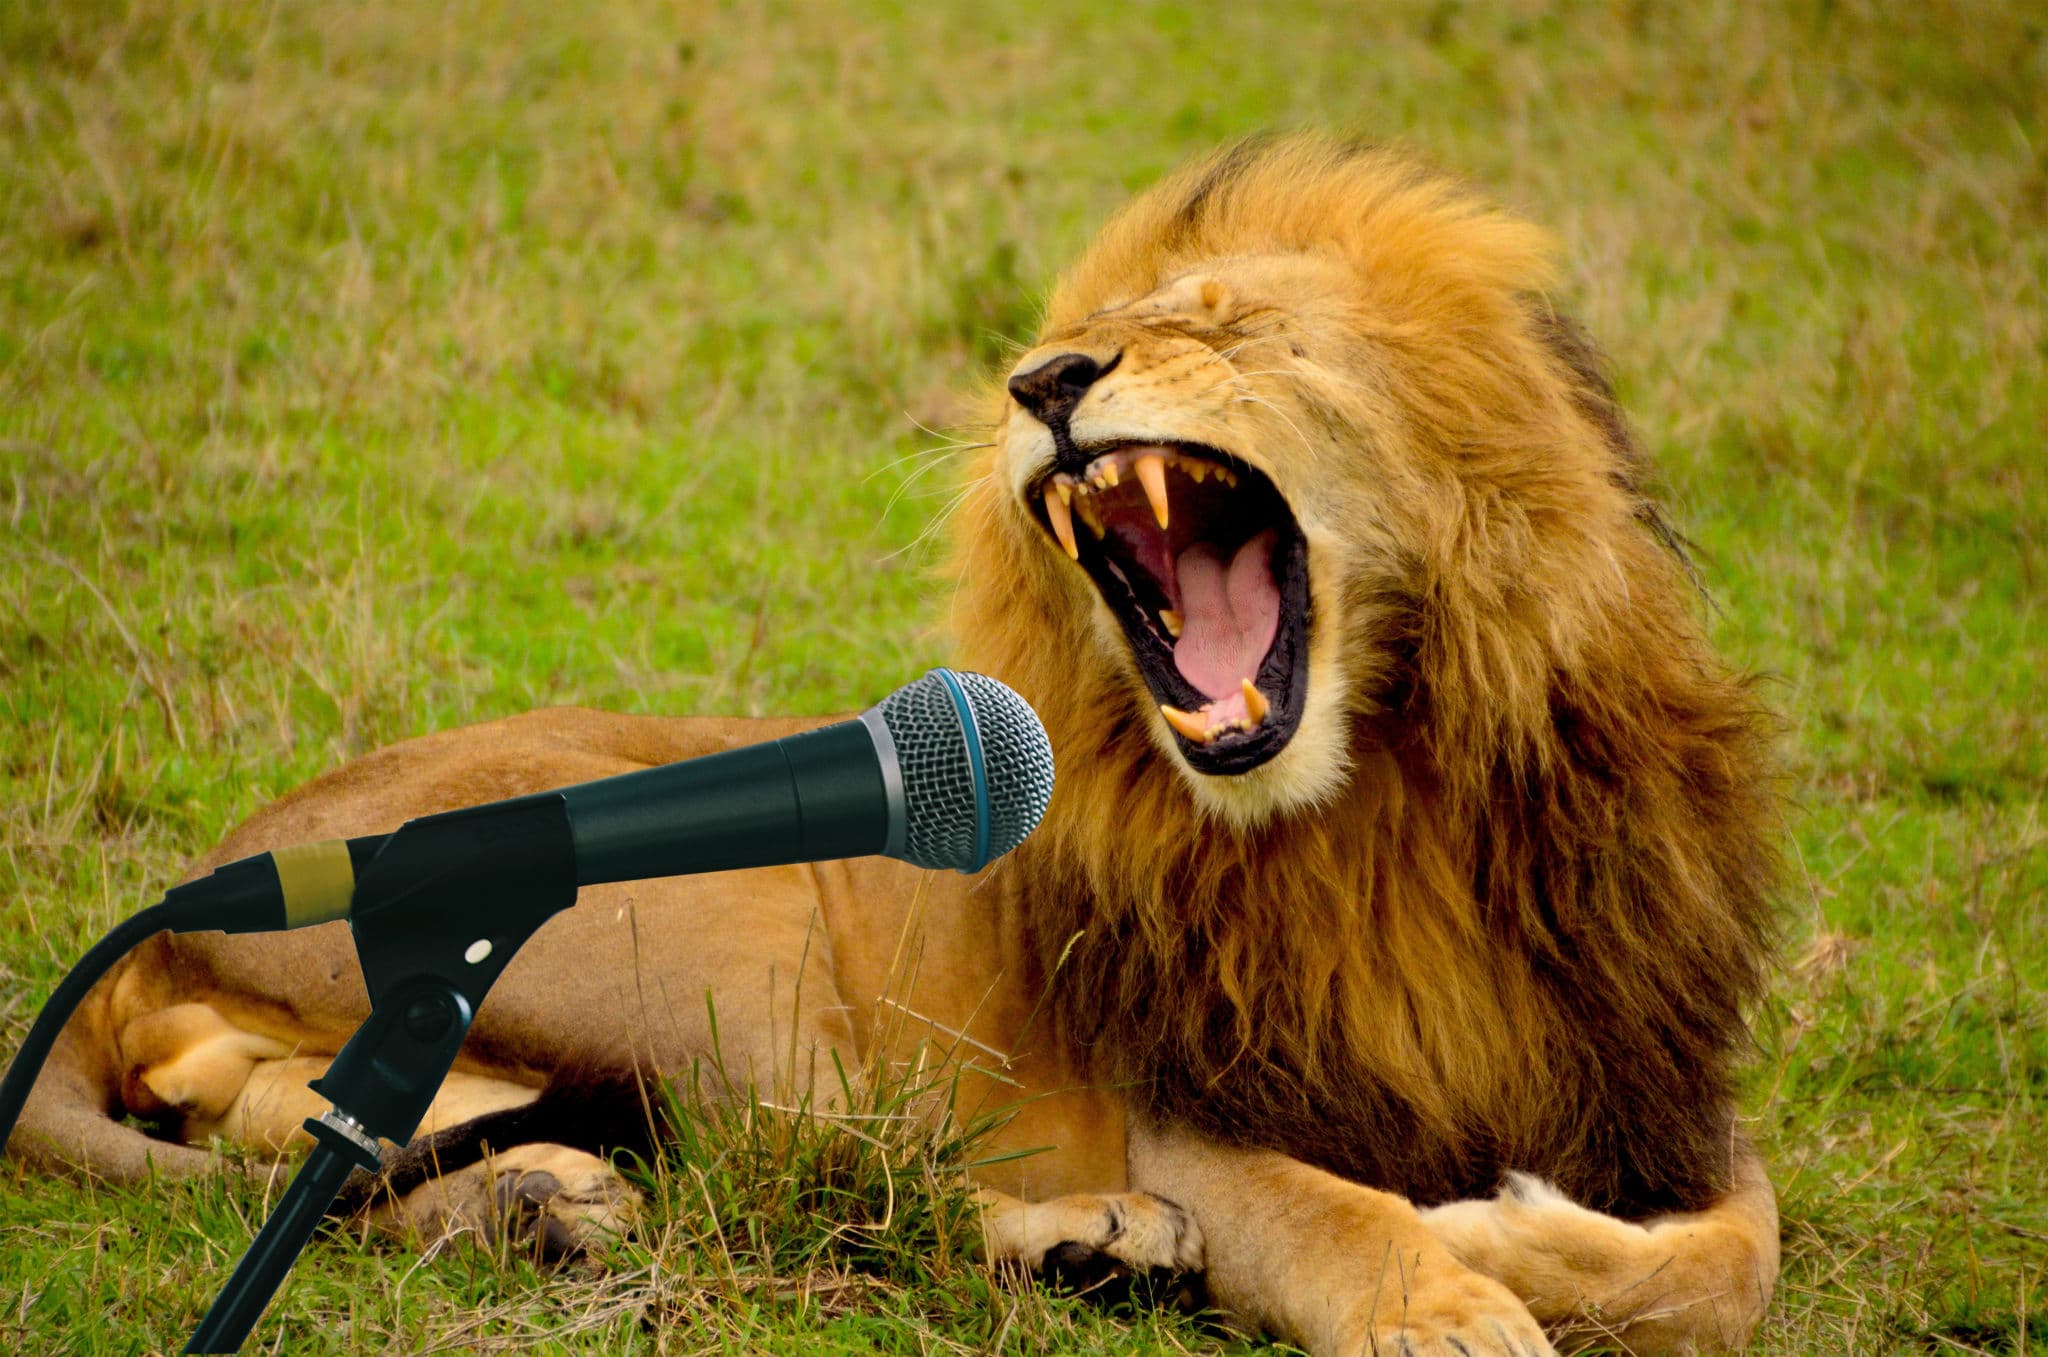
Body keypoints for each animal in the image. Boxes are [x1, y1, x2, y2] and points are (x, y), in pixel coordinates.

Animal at [6, 135, 1782, 1356]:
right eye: (1085, 332)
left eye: (1227, 326)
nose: (1044, 380)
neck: (1384, 807)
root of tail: (198, 882)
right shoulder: (1188, 1106)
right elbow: (1335, 1211)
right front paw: (1451, 1293)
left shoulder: (1653, 1080)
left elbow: (1732, 1261)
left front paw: (1511, 1234)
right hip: (734, 955)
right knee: (817, 1179)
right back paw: (1080, 1240)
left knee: (303, 1124)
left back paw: (547, 1201)